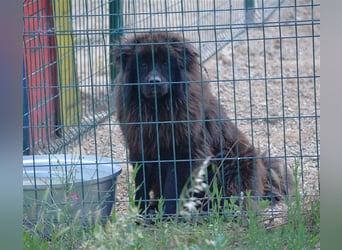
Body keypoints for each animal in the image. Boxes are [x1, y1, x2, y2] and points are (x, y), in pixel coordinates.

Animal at [113, 32, 294, 216]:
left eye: (165, 63)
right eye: (143, 64)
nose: (154, 81)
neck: (157, 110)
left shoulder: (184, 153)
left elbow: (174, 189)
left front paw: (170, 215)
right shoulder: (140, 149)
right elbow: (141, 185)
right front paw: (141, 212)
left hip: (231, 159)